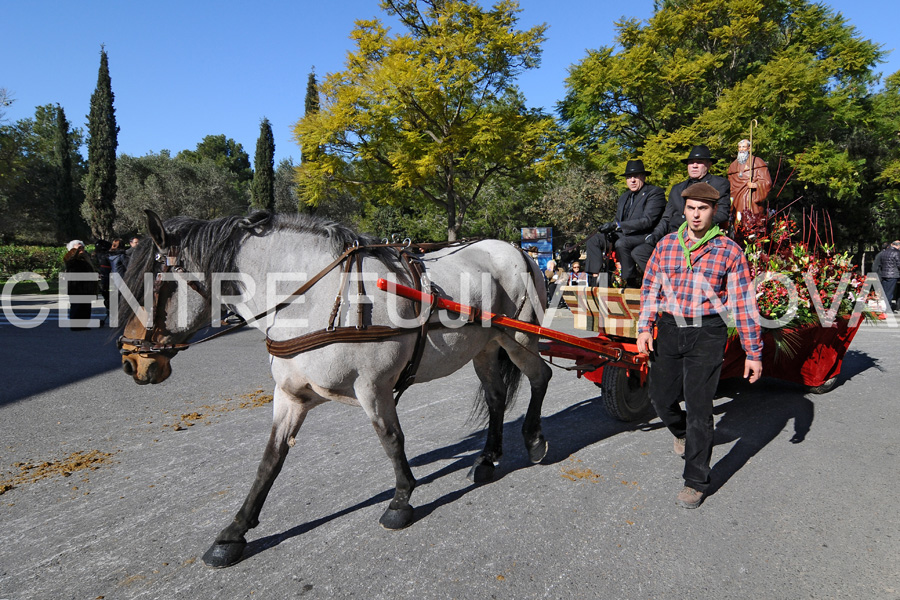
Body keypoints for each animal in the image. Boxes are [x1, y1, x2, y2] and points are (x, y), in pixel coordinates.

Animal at [116, 211, 552, 568]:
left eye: (150, 287)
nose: (131, 361)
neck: (310, 300)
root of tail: (516, 249)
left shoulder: (373, 386)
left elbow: (391, 439)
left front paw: (400, 500)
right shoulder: (290, 396)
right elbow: (270, 460)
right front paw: (234, 532)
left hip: (517, 337)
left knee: (541, 376)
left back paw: (533, 439)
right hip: (486, 347)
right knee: (496, 397)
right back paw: (488, 458)